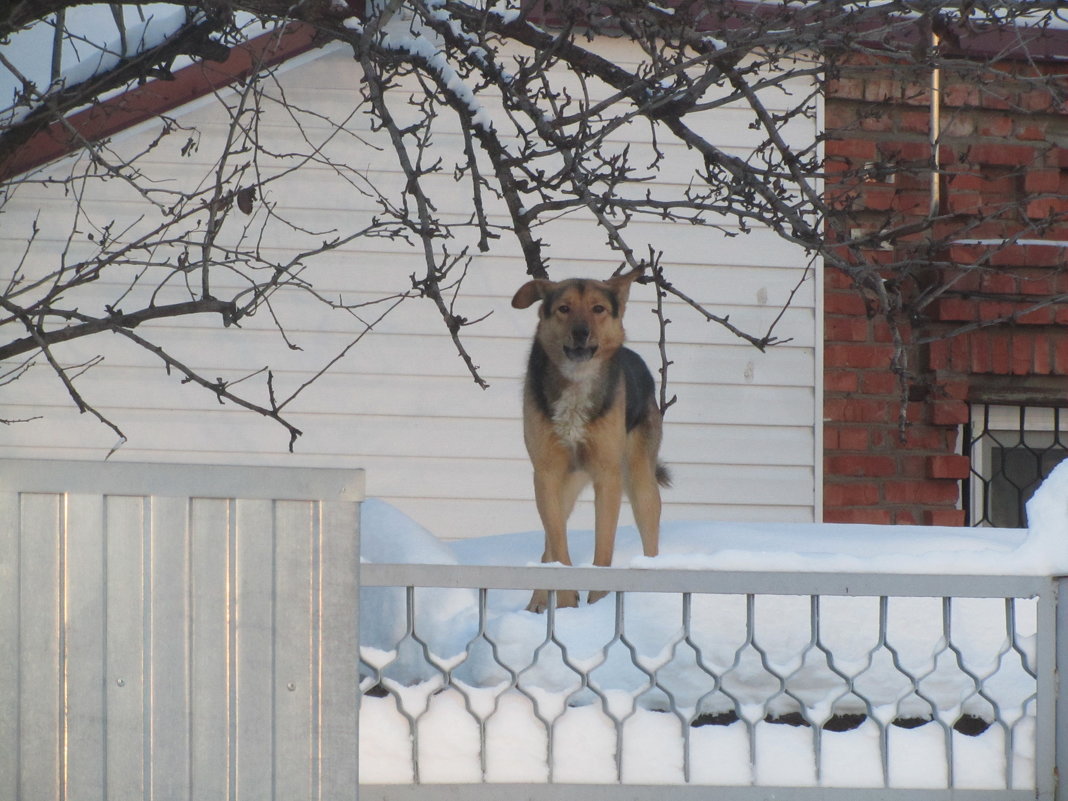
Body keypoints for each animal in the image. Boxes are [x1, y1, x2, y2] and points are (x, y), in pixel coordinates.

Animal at [508, 267, 666, 610]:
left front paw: (599, 603)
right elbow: (557, 547)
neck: (577, 383)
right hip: (565, 484)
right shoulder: (546, 474)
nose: (581, 332)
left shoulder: (607, 475)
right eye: (564, 308)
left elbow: (603, 548)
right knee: (549, 544)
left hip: (639, 480)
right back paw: (538, 602)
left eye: (598, 309)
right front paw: (567, 603)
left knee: (650, 538)